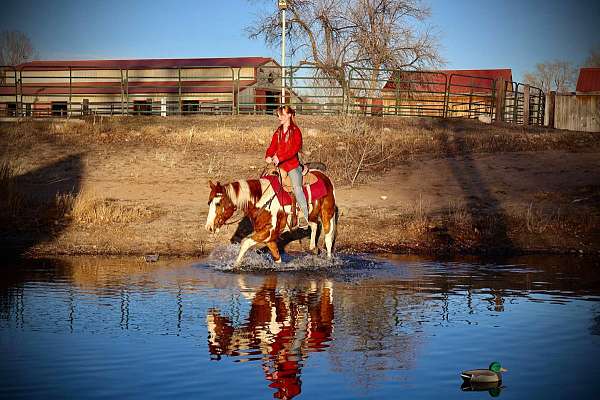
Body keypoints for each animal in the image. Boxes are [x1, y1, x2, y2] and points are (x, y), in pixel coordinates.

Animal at [205, 170, 338, 266]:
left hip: (327, 213)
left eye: (218, 203)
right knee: (315, 225)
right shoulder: (269, 239)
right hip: (312, 216)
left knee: (328, 238)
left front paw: (235, 265)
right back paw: (312, 247)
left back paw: (328, 260)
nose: (209, 227)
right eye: (208, 202)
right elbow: (277, 258)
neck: (261, 200)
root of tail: (325, 177)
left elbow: (245, 243)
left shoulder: (268, 232)